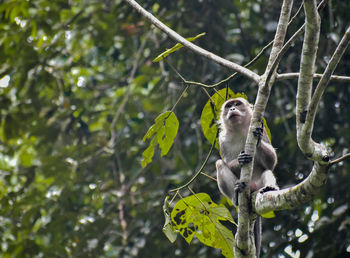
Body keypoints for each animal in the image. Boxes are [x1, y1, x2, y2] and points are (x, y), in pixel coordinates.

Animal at [215, 97, 278, 258]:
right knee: (219, 164)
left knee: (266, 172)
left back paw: (269, 188)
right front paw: (240, 159)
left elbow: (271, 162)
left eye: (237, 104)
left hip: (259, 184)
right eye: (229, 106)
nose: (232, 109)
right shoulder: (222, 140)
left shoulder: (261, 126)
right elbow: (225, 162)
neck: (239, 129)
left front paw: (258, 139)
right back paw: (237, 195)